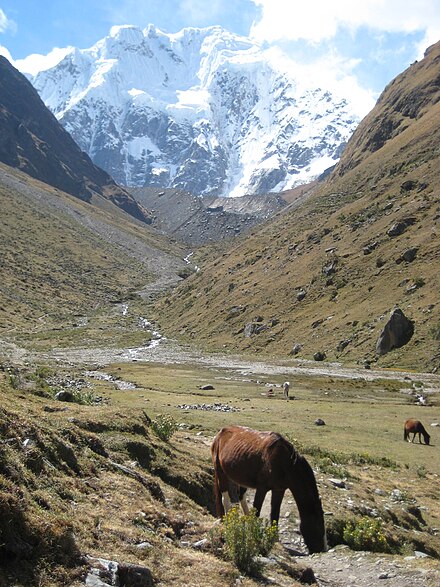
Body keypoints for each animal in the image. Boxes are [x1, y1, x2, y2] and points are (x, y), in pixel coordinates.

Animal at [211, 424, 328, 552]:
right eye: (318, 526)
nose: (323, 549)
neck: (285, 464)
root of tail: (220, 433)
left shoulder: (279, 490)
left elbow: (275, 513)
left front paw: (274, 538)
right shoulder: (262, 489)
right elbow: (257, 510)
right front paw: (253, 532)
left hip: (239, 478)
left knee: (240, 497)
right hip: (220, 472)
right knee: (225, 497)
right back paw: (227, 521)